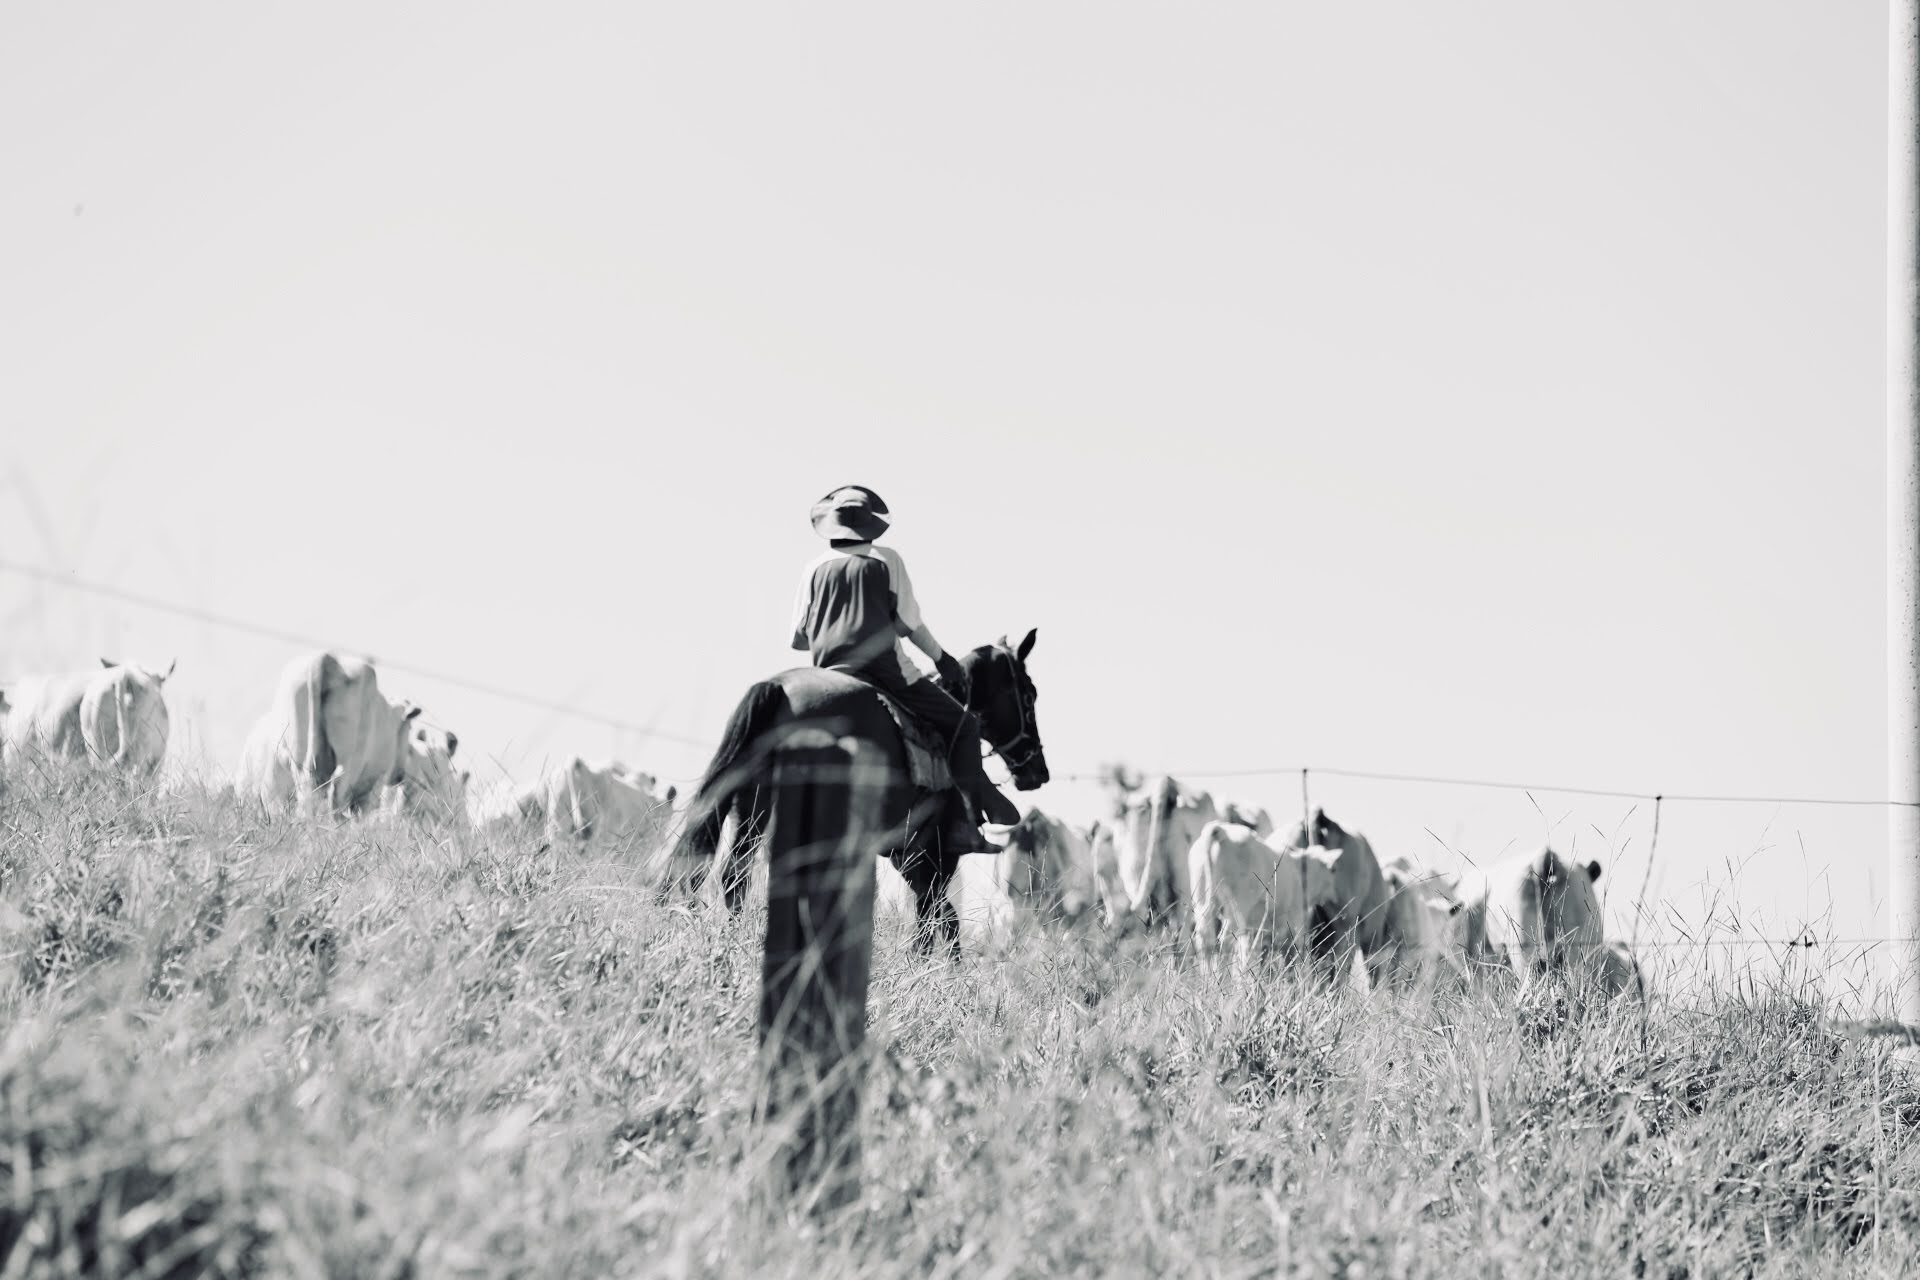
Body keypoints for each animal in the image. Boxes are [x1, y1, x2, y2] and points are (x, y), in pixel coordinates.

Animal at [238, 652, 443, 816]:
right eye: (408, 729)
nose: (399, 776)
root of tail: (325, 658)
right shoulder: (374, 779)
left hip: (296, 756)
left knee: (307, 794)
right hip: (351, 759)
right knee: (335, 796)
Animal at [666, 629, 1048, 953]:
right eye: (1029, 695)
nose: (1038, 772)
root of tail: (778, 688)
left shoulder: (907, 857)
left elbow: (938, 918)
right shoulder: (936, 854)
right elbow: (935, 921)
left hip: (754, 802)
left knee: (736, 875)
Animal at [1188, 820, 1335, 976]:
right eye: (1333, 870)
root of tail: (1219, 830)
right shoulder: (1294, 917)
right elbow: (1293, 950)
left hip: (1202, 901)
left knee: (1205, 942)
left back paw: (1207, 978)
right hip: (1238, 905)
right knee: (1226, 942)